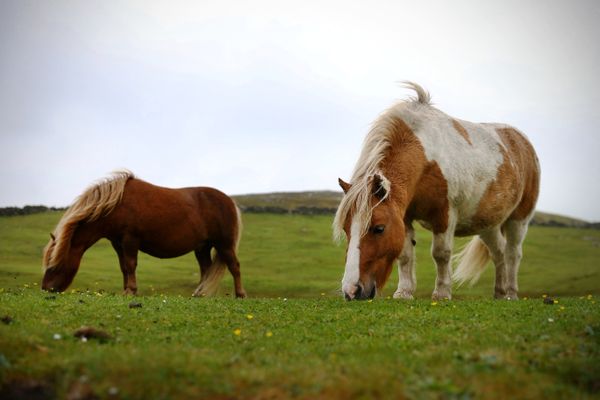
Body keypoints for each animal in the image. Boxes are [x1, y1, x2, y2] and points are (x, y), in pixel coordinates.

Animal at [41, 170, 246, 298]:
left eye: (53, 265)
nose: (46, 289)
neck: (116, 205)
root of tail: (229, 201)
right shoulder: (118, 243)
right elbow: (124, 267)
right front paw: (126, 290)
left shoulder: (130, 240)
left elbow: (131, 265)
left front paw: (131, 290)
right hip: (202, 247)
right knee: (206, 269)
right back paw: (201, 294)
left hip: (224, 244)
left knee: (234, 266)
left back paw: (240, 295)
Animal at [336, 82, 540, 300]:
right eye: (346, 229)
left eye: (379, 228)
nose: (352, 290)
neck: (426, 155)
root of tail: (522, 140)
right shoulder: (404, 217)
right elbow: (405, 255)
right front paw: (404, 292)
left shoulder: (445, 214)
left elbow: (441, 254)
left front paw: (442, 293)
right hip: (488, 224)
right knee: (499, 252)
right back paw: (500, 293)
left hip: (518, 220)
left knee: (512, 254)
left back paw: (510, 293)